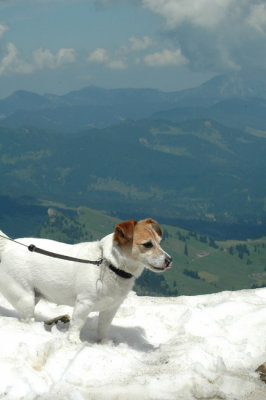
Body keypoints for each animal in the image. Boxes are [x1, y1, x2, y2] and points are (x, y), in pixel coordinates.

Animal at [0, 219, 172, 344]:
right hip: (25, 298)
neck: (109, 265)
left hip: (34, 296)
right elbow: (77, 324)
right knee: (26, 319)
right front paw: (74, 341)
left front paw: (103, 343)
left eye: (159, 242)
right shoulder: (84, 303)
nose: (169, 260)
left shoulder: (111, 308)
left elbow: (103, 328)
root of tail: (8, 245)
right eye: (147, 244)